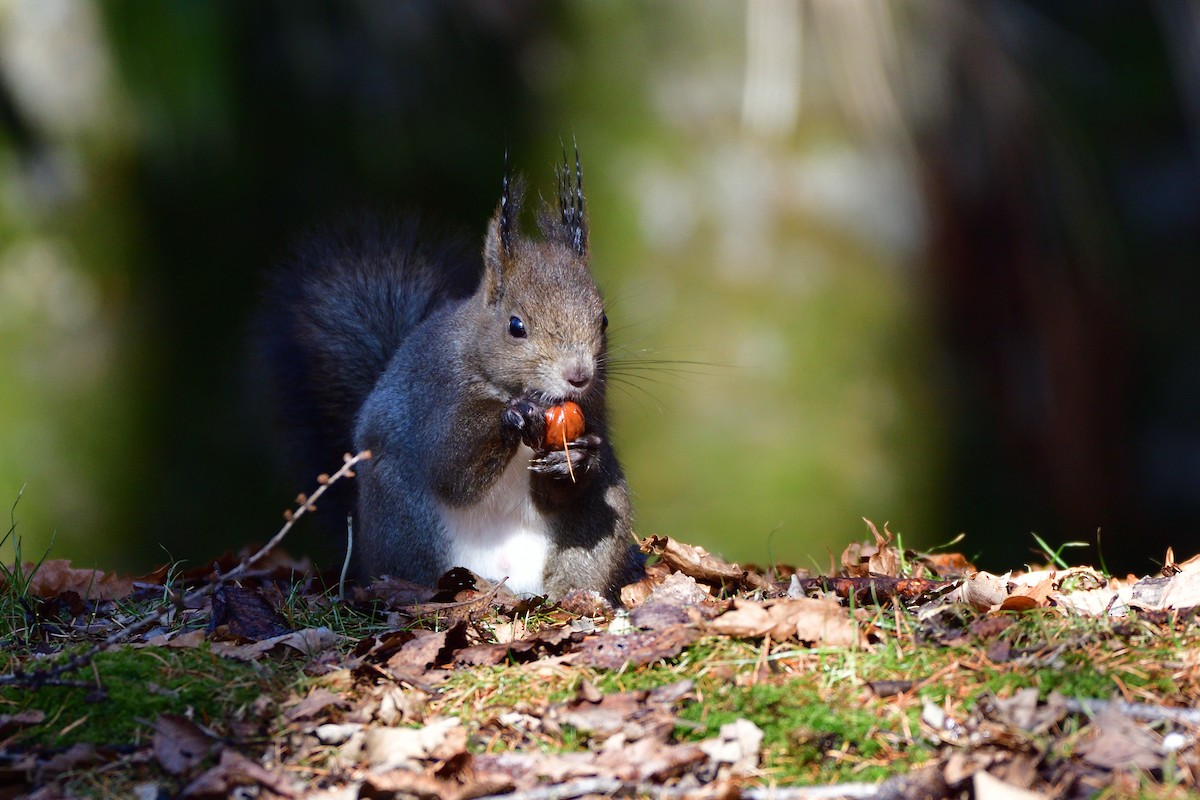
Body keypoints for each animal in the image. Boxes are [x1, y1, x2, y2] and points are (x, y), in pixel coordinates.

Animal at [260, 149, 644, 603]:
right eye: (516, 326)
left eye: (603, 320)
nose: (579, 376)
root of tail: (506, 583)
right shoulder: (437, 394)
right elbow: (450, 469)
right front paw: (512, 416)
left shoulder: (592, 408)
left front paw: (579, 455)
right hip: (404, 524)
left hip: (599, 523)